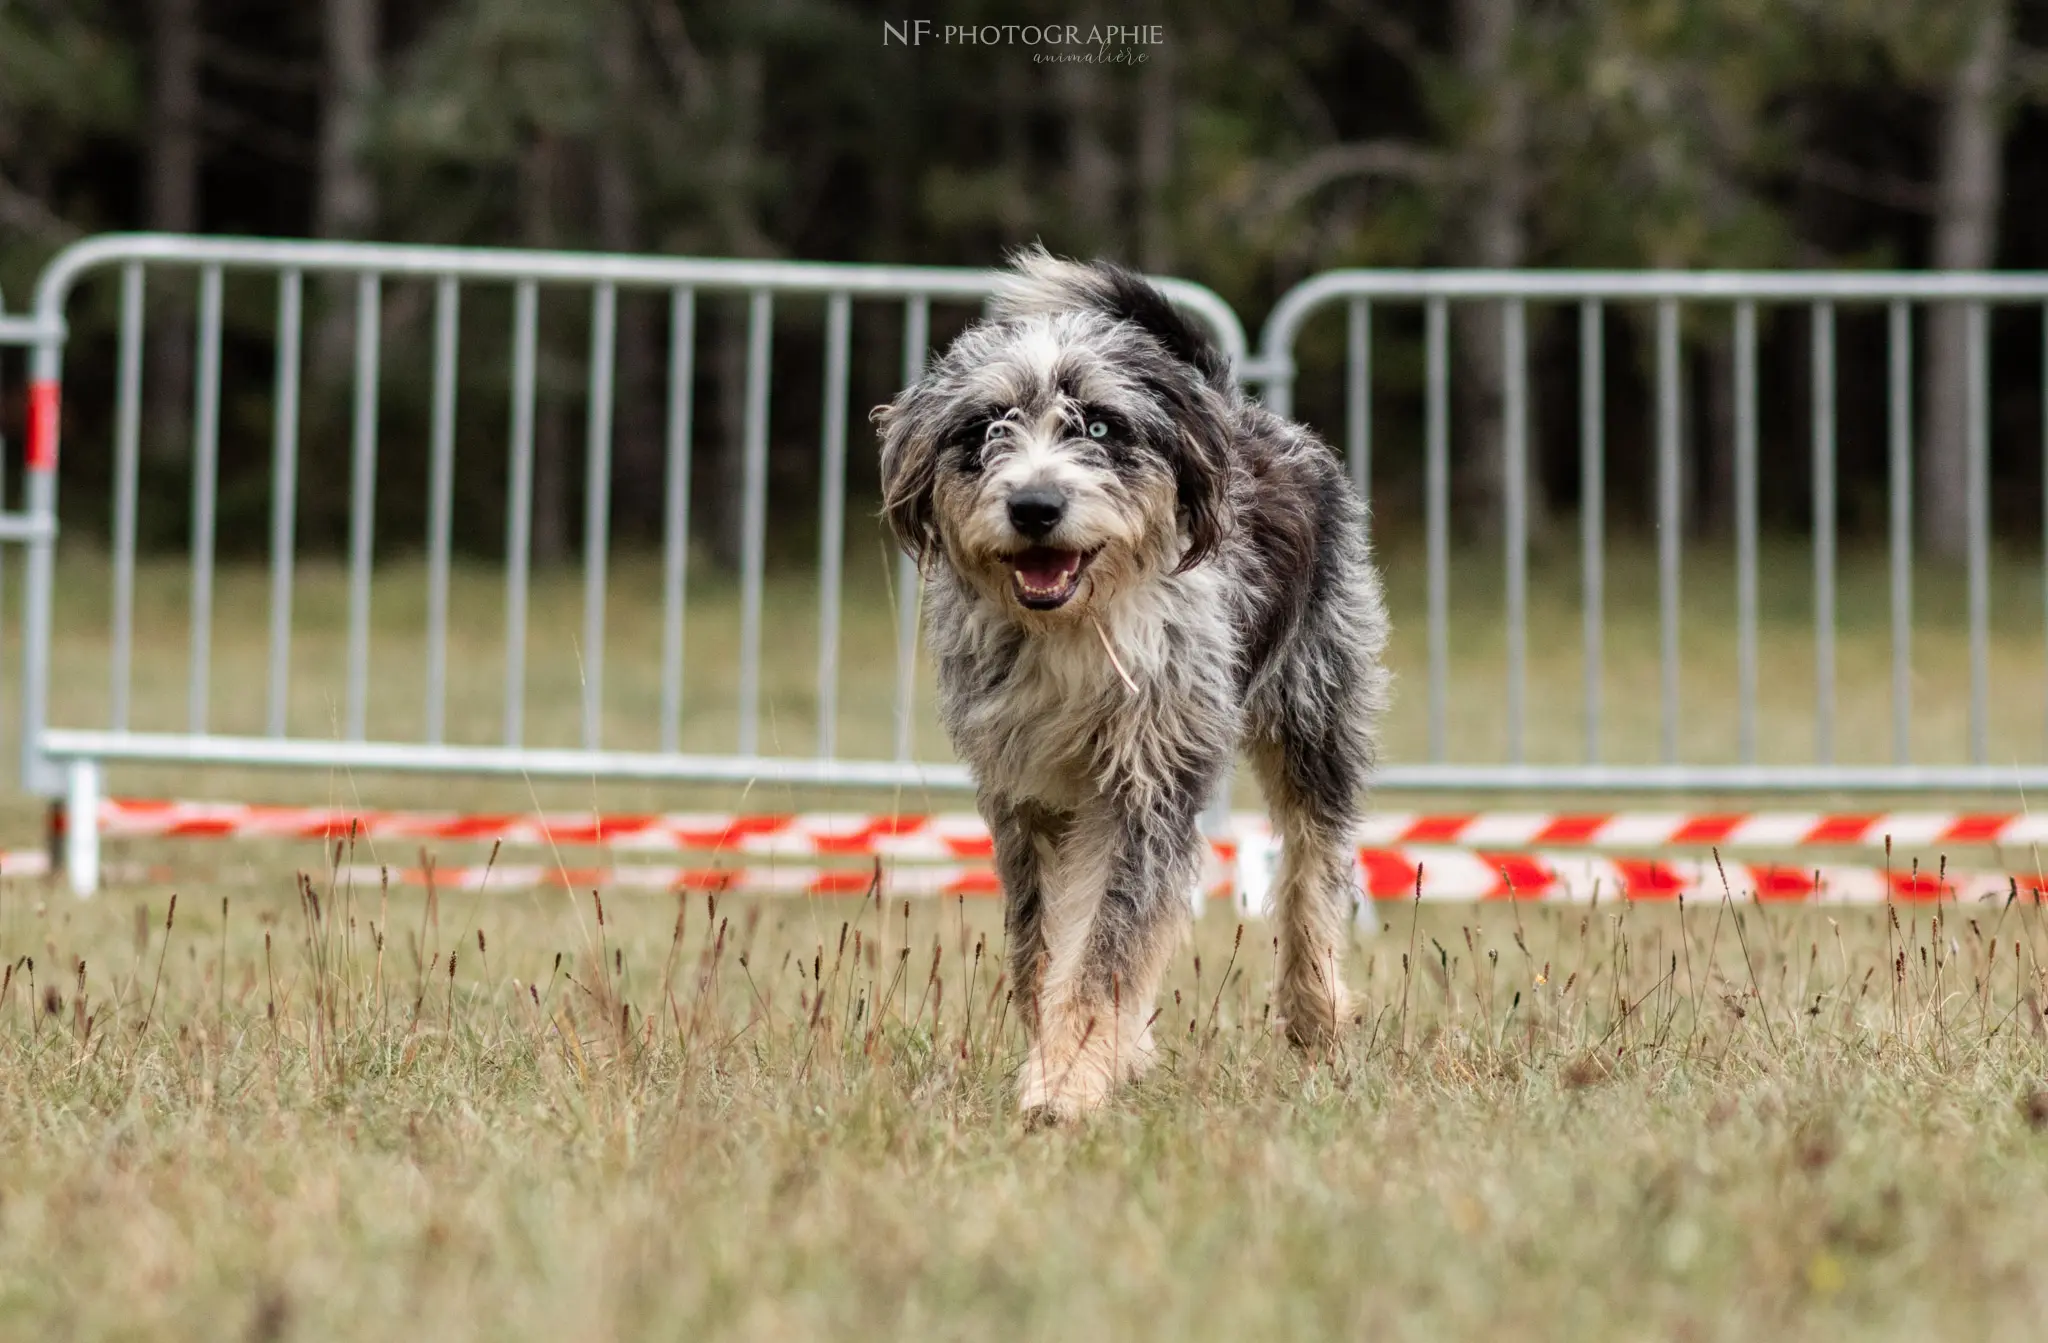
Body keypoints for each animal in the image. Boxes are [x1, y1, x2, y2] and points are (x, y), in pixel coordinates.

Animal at [872, 246, 1384, 1113]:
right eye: (984, 426)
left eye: (1100, 425)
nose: (1035, 504)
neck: (1076, 630)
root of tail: (1228, 399)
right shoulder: (1029, 796)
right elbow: (1044, 947)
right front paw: (1082, 1055)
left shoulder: (1148, 779)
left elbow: (1105, 945)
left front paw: (1066, 1081)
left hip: (1316, 704)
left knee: (1314, 857)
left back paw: (1315, 1005)